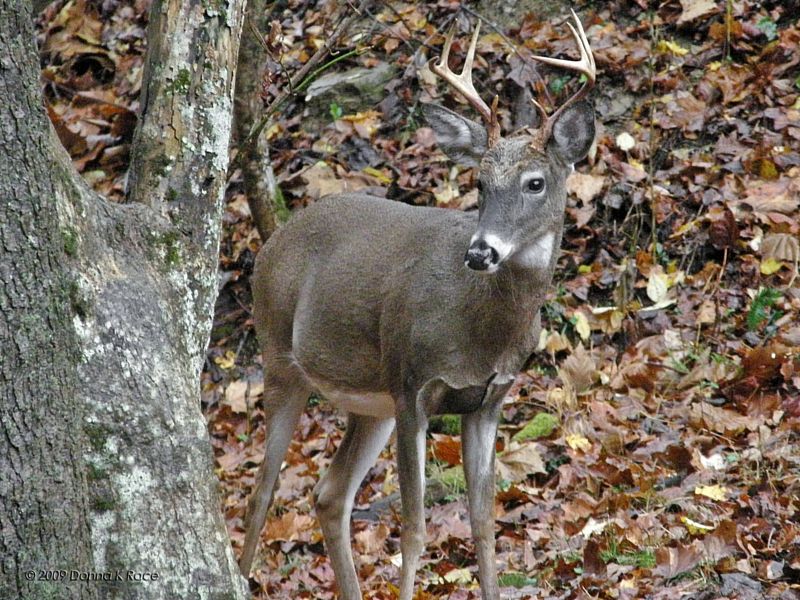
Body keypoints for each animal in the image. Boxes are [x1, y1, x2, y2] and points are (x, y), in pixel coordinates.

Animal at [241, 10, 596, 600]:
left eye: (535, 182)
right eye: (479, 182)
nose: (481, 252)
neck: (479, 332)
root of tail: (269, 245)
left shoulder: (489, 400)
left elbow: (484, 526)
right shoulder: (412, 385)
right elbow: (413, 531)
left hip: (370, 404)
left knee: (329, 493)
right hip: (281, 358)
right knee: (262, 491)